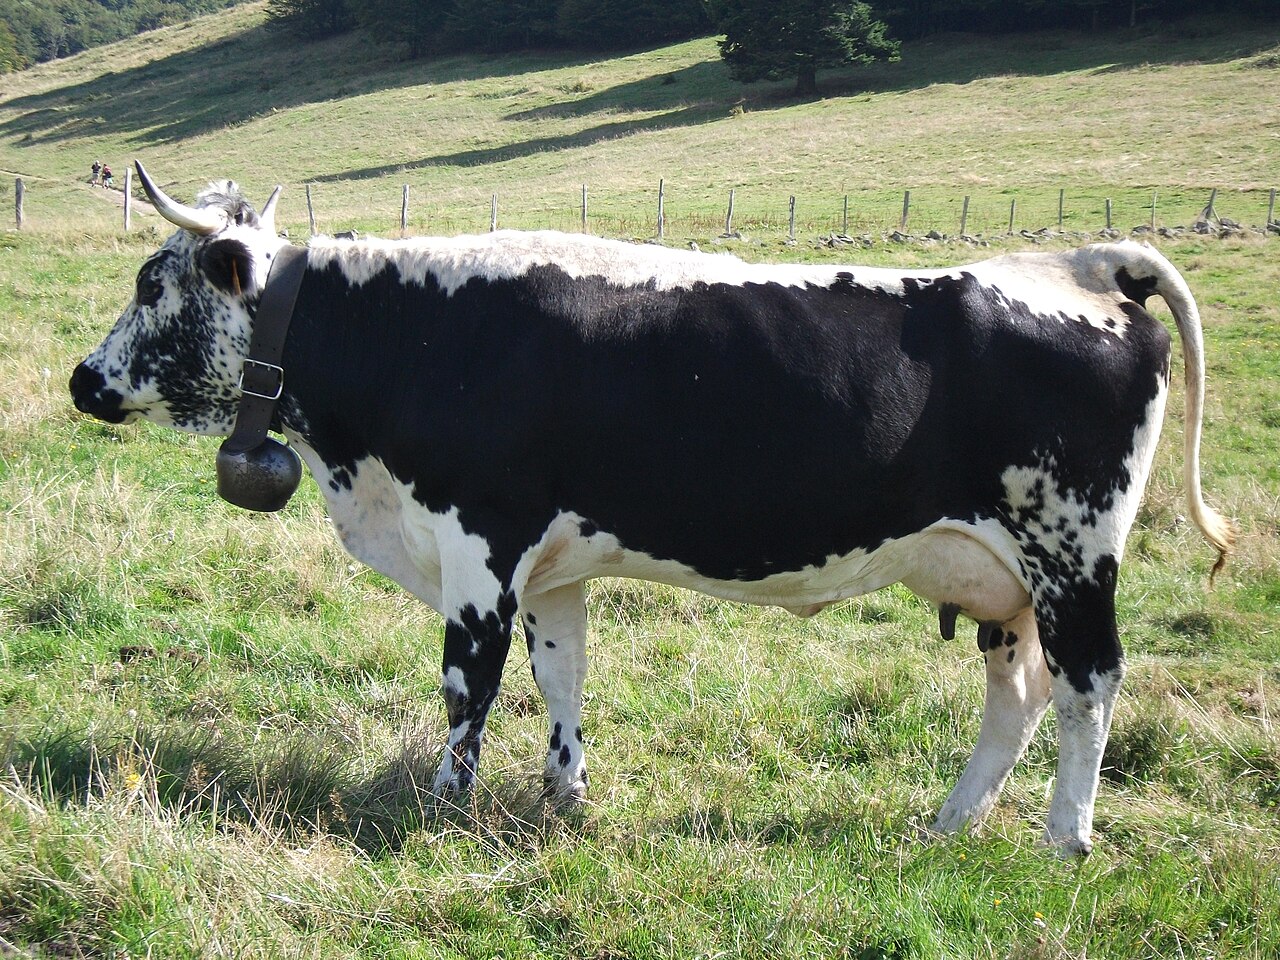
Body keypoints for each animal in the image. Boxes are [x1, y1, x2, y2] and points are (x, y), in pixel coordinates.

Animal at [70, 164, 1233, 856]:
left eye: (151, 283)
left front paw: (437, 810)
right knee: (1017, 694)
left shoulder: (479, 540)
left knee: (1088, 687)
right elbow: (560, 677)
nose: (82, 380)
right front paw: (563, 799)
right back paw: (949, 825)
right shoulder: (554, 565)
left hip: (1071, 552)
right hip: (1000, 574)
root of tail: (1082, 261)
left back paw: (1063, 838)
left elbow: (466, 685)